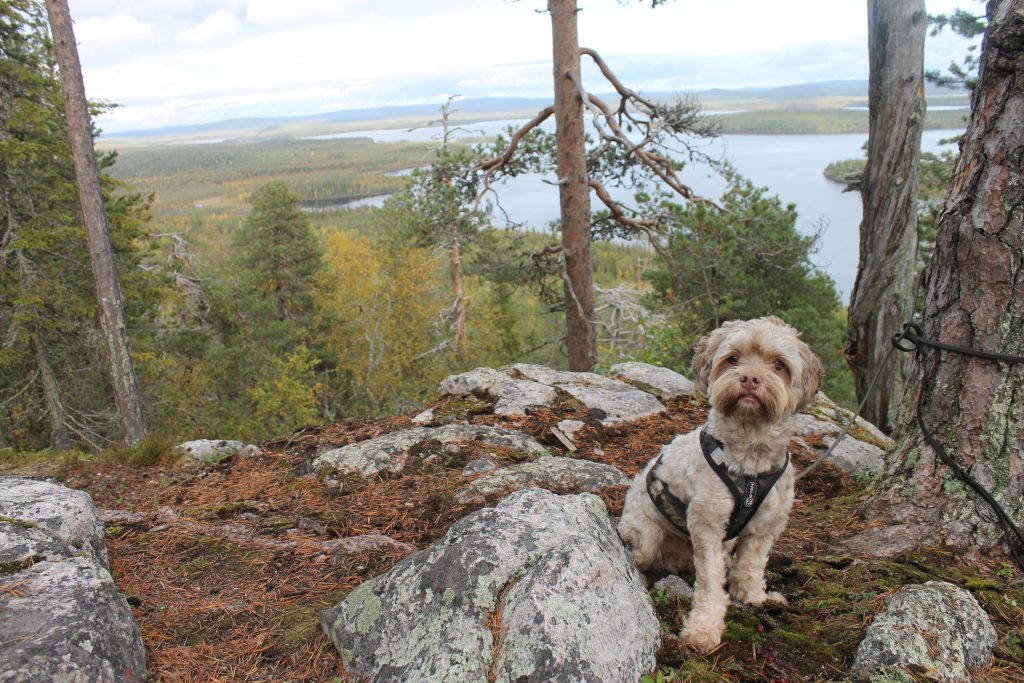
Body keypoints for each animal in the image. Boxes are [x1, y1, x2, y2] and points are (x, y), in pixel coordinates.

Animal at [614, 317, 823, 655]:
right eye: (733, 358)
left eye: (779, 364)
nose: (750, 378)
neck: (750, 463)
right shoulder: (708, 522)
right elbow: (710, 581)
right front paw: (703, 629)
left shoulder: (765, 526)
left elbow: (751, 565)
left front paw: (753, 597)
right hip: (645, 536)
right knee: (645, 555)